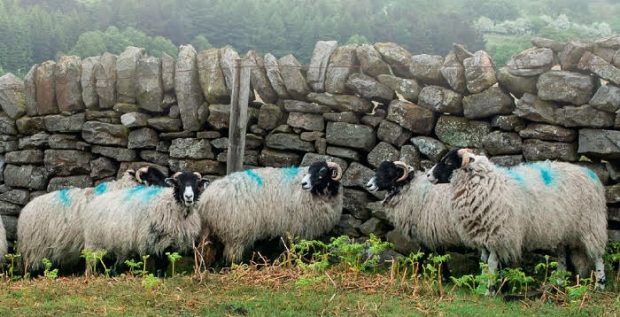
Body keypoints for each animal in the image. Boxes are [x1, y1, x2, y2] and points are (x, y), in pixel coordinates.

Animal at [78, 170, 206, 272]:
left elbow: (164, 265)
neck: (173, 204)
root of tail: (95, 201)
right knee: (93, 262)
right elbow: (160, 265)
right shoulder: (159, 241)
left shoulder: (171, 244)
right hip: (96, 243)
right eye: (179, 183)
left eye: (196, 183)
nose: (188, 197)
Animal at [196, 160, 344, 262]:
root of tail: (205, 199)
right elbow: (296, 248)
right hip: (236, 229)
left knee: (207, 250)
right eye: (310, 170)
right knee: (231, 255)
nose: (304, 184)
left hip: (211, 230)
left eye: (322, 171)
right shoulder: (299, 228)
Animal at [428, 149, 608, 290]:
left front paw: (489, 290)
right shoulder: (483, 233)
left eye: (448, 162)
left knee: (598, 255)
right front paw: (484, 285)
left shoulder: (497, 234)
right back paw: (558, 281)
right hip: (562, 227)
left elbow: (491, 263)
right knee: (562, 255)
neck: (484, 183)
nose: (429, 174)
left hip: (591, 224)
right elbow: (484, 262)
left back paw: (600, 283)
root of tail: (589, 173)